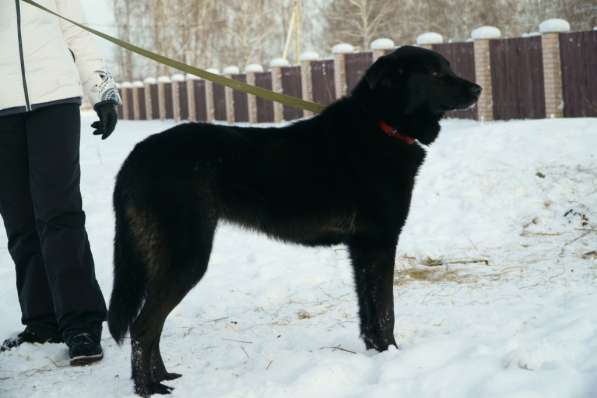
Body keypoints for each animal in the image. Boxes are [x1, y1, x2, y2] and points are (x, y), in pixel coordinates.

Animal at [107, 45, 480, 394]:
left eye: (448, 67)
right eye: (435, 74)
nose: (477, 89)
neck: (381, 126)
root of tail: (135, 158)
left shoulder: (361, 250)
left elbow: (369, 314)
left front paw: (376, 353)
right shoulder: (379, 243)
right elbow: (386, 312)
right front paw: (393, 355)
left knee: (152, 325)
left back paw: (162, 377)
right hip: (187, 258)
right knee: (143, 326)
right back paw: (147, 389)